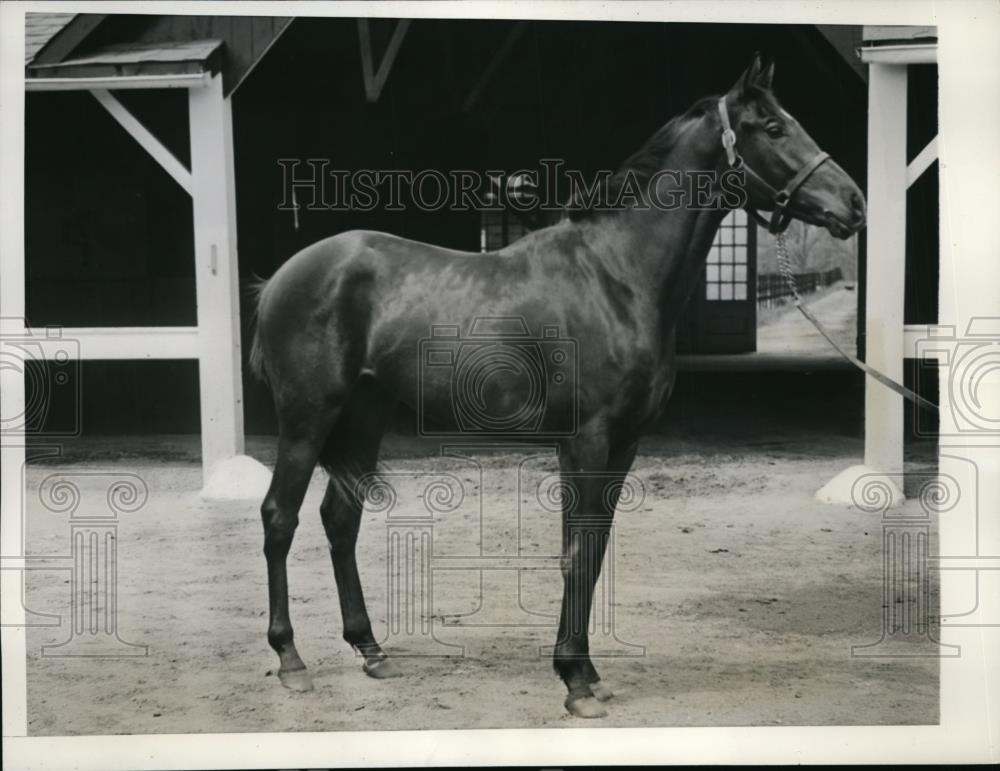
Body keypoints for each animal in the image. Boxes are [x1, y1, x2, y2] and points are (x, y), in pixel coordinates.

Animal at [250, 52, 868, 716]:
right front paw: (574, 682)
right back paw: (290, 660)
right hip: (308, 419)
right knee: (279, 517)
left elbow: (593, 552)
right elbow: (577, 554)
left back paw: (371, 650)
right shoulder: (587, 440)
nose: (854, 204)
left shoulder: (625, 444)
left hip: (364, 415)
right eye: (774, 128)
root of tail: (282, 276)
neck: (615, 277)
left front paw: (588, 672)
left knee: (340, 518)